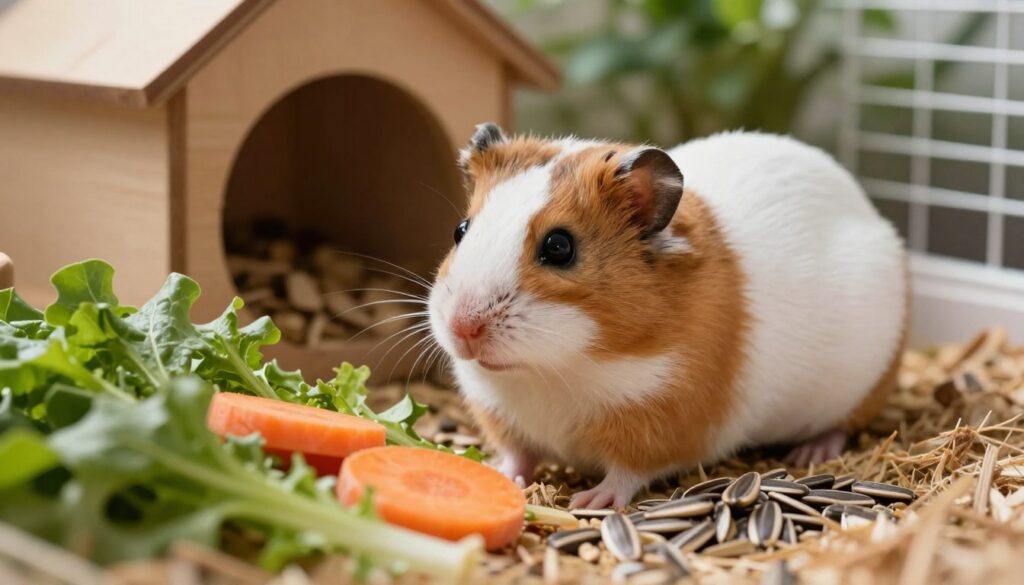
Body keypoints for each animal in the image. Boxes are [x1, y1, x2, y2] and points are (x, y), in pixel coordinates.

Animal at [428, 123, 907, 508]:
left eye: (560, 247)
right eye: (460, 230)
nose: (463, 327)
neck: (552, 371)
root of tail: (868, 210)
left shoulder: (659, 422)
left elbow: (626, 473)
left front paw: (590, 501)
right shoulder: (503, 417)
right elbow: (518, 456)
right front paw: (499, 475)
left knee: (842, 425)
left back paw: (810, 453)